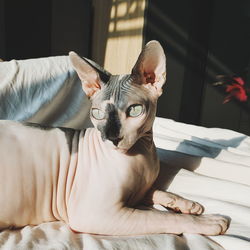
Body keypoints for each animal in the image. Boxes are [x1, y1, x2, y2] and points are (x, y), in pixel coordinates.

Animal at [0, 40, 229, 234]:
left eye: (135, 110)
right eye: (97, 113)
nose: (112, 138)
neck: (142, 152)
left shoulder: (138, 192)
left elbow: (156, 190)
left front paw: (185, 204)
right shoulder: (95, 213)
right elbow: (160, 217)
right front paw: (206, 221)